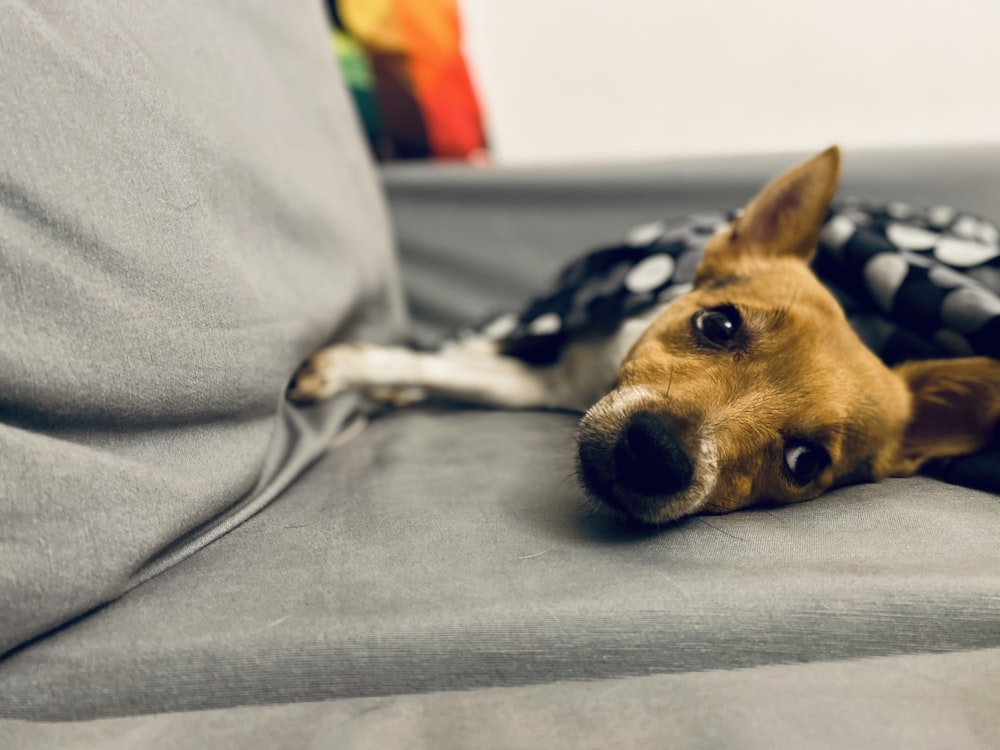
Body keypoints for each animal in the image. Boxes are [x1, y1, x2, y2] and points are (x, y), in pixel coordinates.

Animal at [290, 145, 1000, 524]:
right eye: (717, 323)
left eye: (804, 464)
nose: (656, 452)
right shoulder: (552, 363)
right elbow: (436, 362)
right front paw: (344, 372)